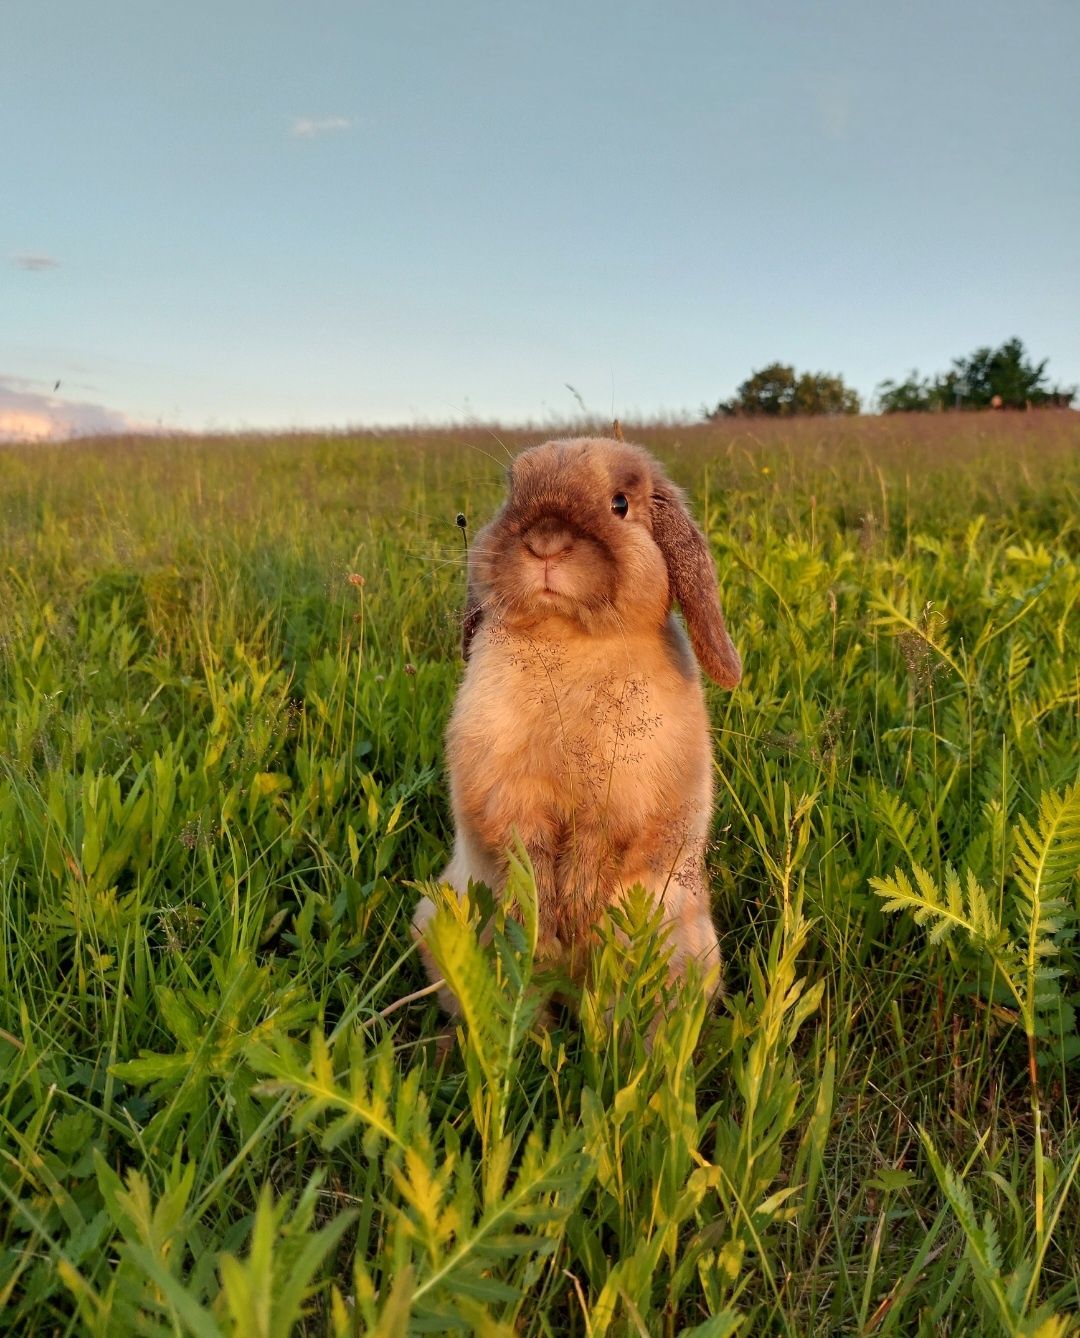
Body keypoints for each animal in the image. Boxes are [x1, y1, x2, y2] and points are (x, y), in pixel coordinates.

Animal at [409, 436, 738, 1011]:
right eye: (513, 491)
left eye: (620, 504)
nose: (545, 543)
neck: (568, 636)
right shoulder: (503, 787)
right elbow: (522, 845)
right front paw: (543, 914)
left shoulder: (625, 793)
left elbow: (600, 844)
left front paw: (578, 908)